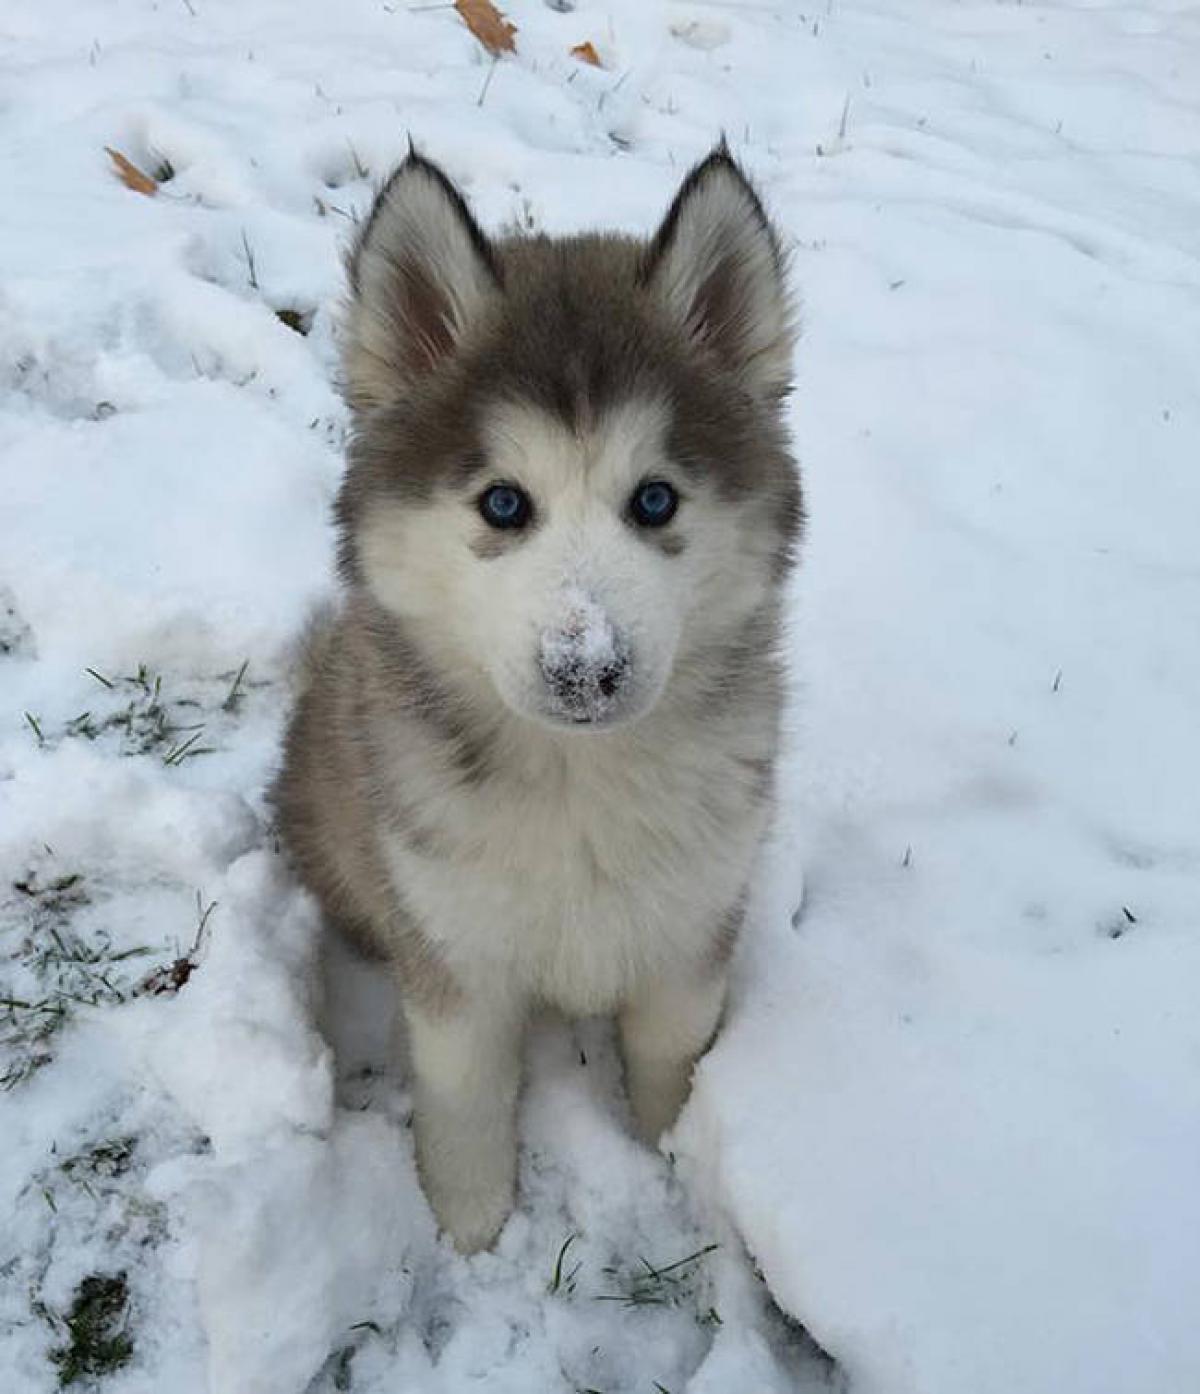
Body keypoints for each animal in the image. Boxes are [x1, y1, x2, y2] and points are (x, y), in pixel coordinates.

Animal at [270, 144, 797, 1254]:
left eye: (656, 499)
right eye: (505, 503)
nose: (585, 668)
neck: (578, 782)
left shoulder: (693, 924)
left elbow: (671, 1054)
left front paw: (670, 1154)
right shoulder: (453, 950)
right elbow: (465, 1094)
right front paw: (469, 1223)